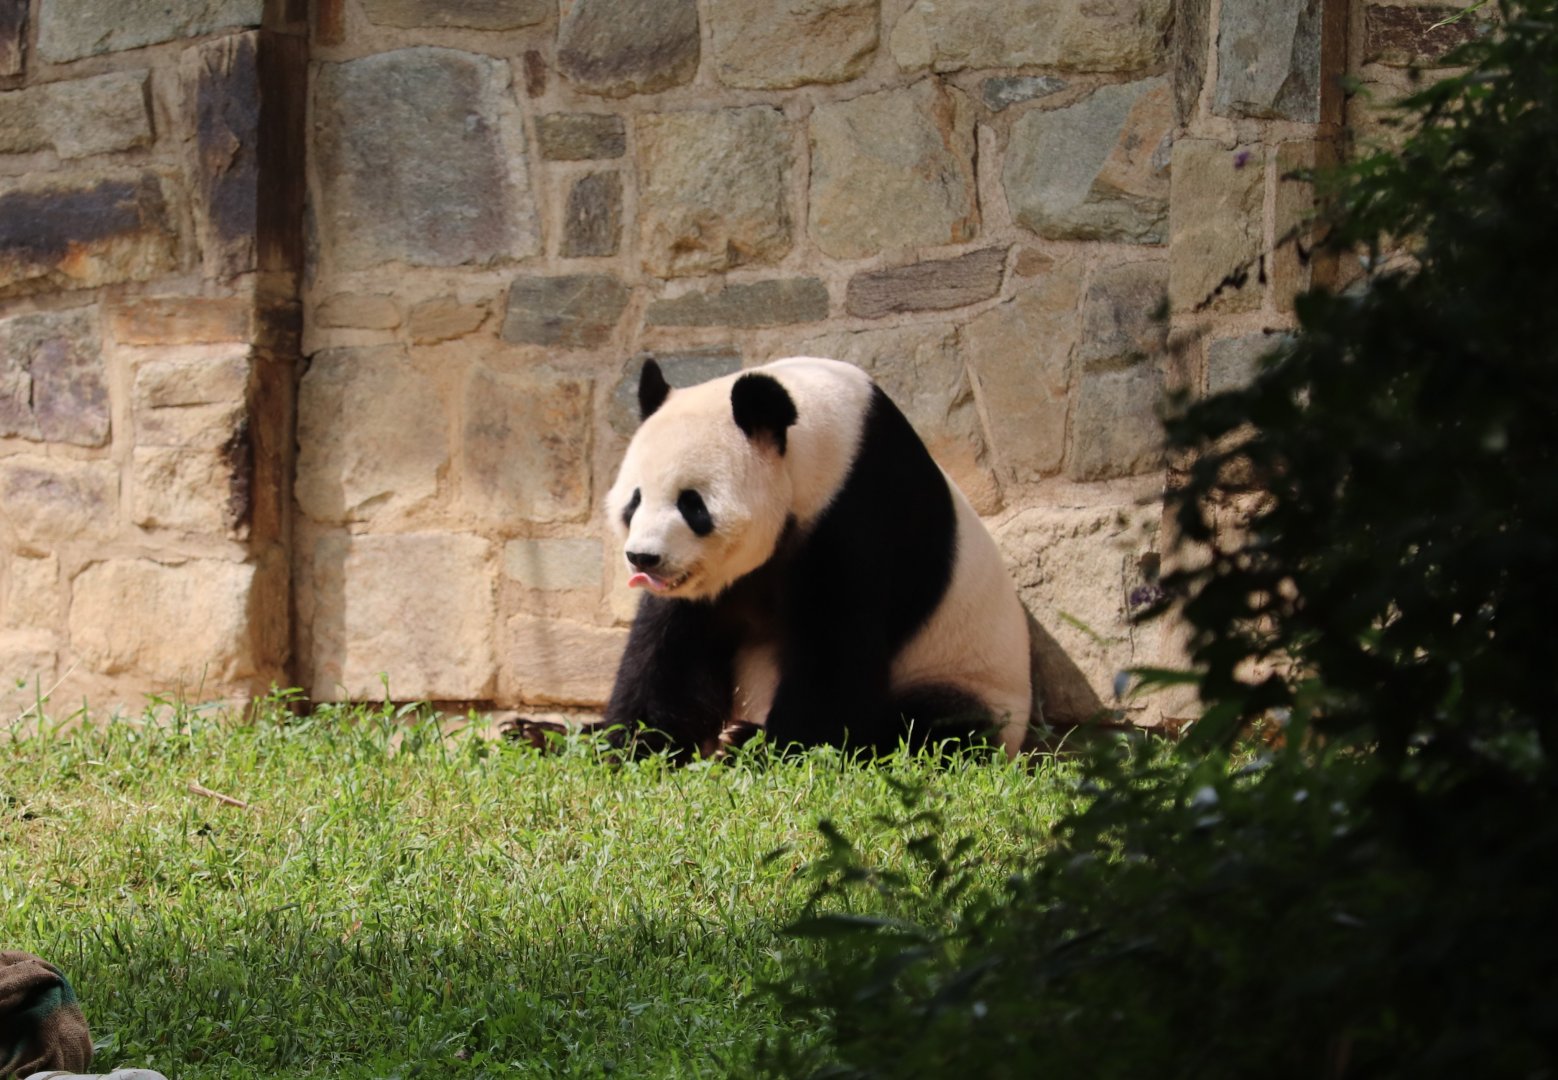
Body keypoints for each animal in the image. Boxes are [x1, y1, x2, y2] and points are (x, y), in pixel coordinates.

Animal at [594, 356, 1032, 758]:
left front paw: (779, 747)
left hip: (971, 678)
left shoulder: (858, 511)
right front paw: (629, 743)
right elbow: (671, 646)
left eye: (691, 504)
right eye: (634, 500)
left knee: (935, 727)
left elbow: (835, 651)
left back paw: (741, 738)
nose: (643, 558)